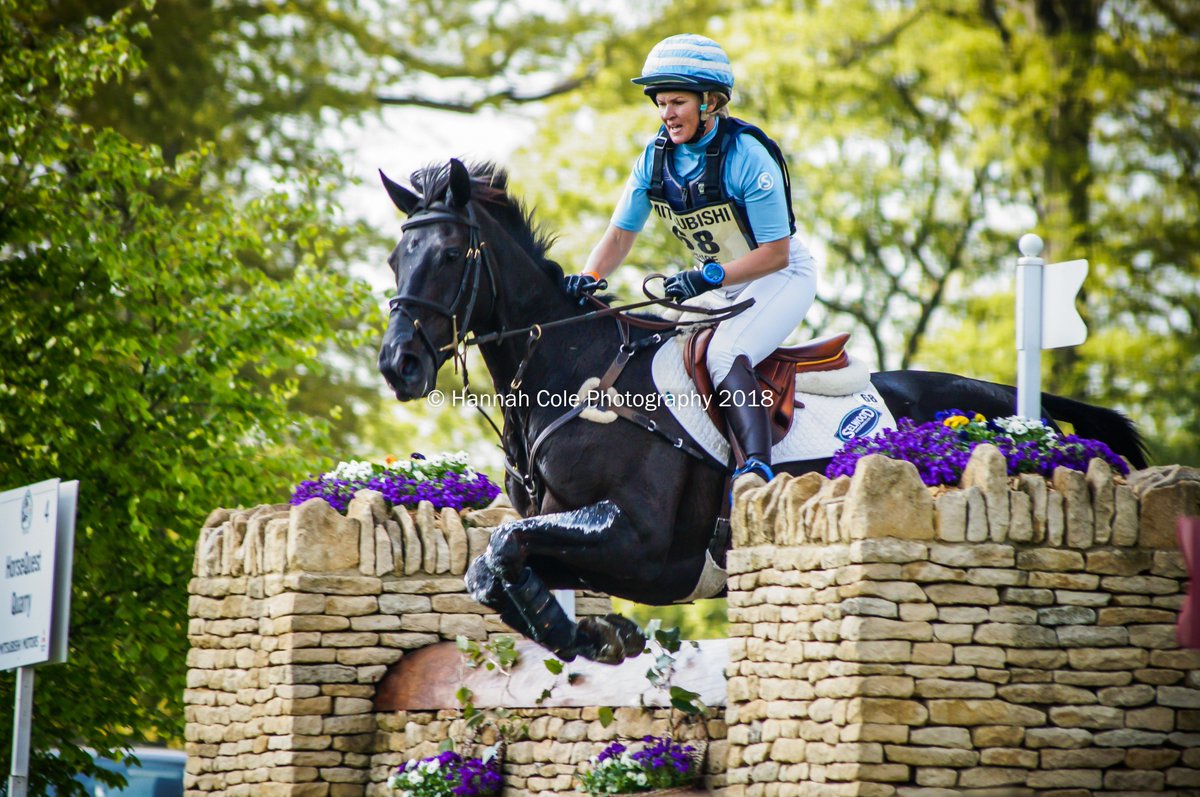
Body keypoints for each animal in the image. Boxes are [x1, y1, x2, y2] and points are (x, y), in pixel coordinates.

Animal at [376, 158, 1148, 665]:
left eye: (450, 253)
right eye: (394, 258)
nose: (398, 364)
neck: (572, 373)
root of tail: (1012, 409)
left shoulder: (641, 544)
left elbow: (503, 550)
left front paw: (590, 636)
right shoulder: (584, 542)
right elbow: (493, 570)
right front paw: (596, 634)